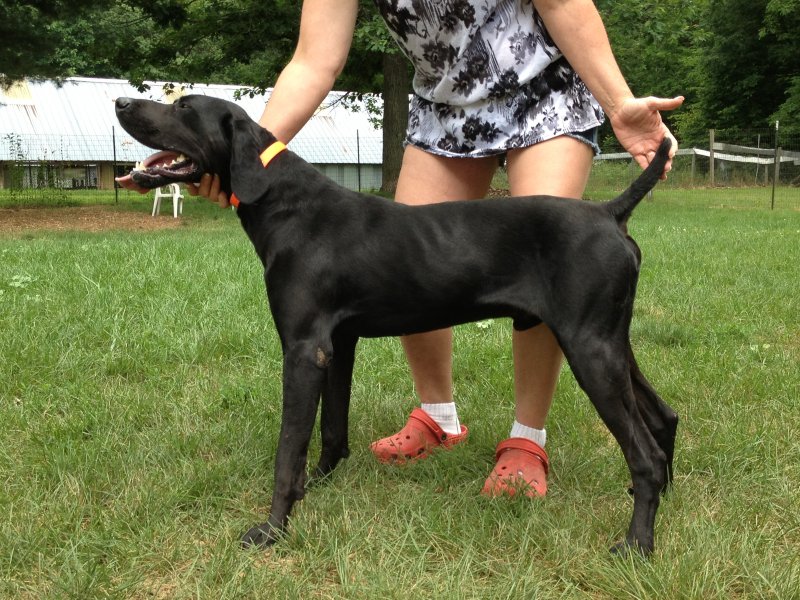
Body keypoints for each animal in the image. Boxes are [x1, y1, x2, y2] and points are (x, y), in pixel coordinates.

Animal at [114, 92, 676, 552]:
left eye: (185, 107)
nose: (121, 102)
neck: (285, 203)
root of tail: (610, 212)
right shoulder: (337, 344)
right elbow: (331, 430)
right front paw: (318, 486)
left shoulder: (303, 349)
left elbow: (287, 451)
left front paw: (272, 529)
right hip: (608, 343)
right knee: (664, 418)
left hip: (588, 348)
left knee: (644, 451)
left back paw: (636, 545)